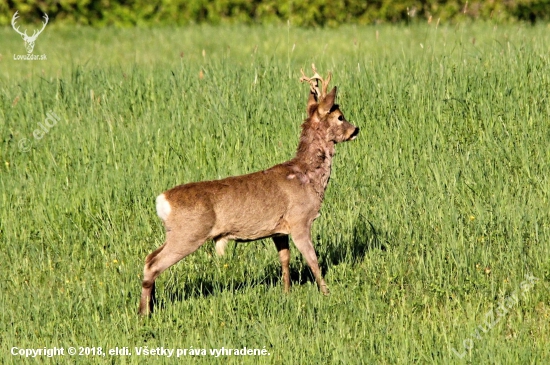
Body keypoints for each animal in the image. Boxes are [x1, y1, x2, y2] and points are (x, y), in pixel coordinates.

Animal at [140, 63, 360, 312]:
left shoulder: (279, 230)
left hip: (175, 233)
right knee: (153, 265)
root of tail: (162, 200)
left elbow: (285, 260)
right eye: (340, 117)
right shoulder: (300, 220)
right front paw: (326, 293)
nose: (356, 129)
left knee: (149, 258)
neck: (307, 176)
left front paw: (286, 292)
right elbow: (312, 260)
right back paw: (144, 312)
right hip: (188, 233)